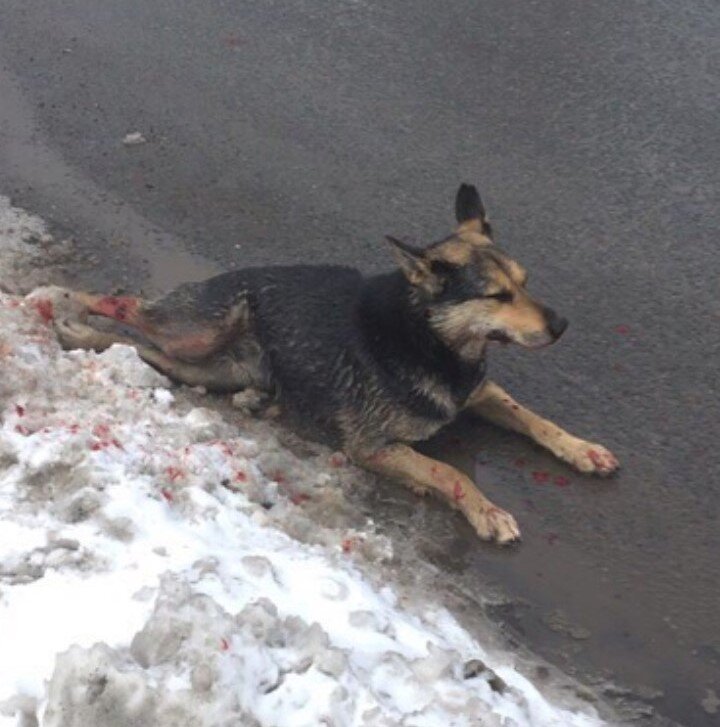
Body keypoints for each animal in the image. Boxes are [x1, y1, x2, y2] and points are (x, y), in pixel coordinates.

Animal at [54, 185, 620, 544]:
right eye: (497, 295)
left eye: (524, 282)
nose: (562, 324)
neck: (432, 340)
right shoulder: (372, 445)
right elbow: (449, 470)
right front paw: (488, 511)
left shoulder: (481, 393)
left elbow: (534, 419)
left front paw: (582, 449)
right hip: (199, 328)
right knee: (126, 306)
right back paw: (63, 304)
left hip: (209, 368)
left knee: (143, 349)